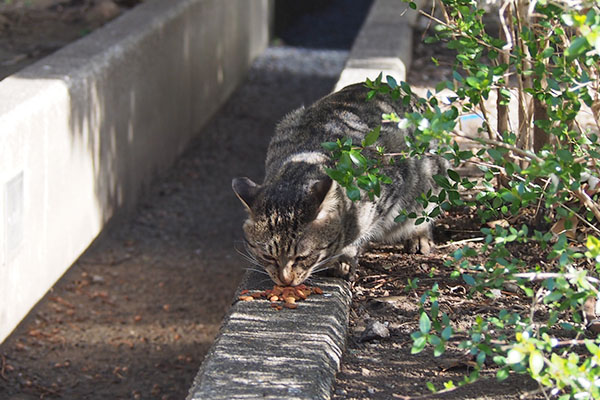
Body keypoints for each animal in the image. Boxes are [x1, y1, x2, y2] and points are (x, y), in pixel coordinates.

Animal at [232, 83, 448, 286]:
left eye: (302, 257)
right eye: (268, 256)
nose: (285, 280)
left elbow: (360, 232)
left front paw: (343, 258)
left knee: (424, 210)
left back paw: (419, 235)